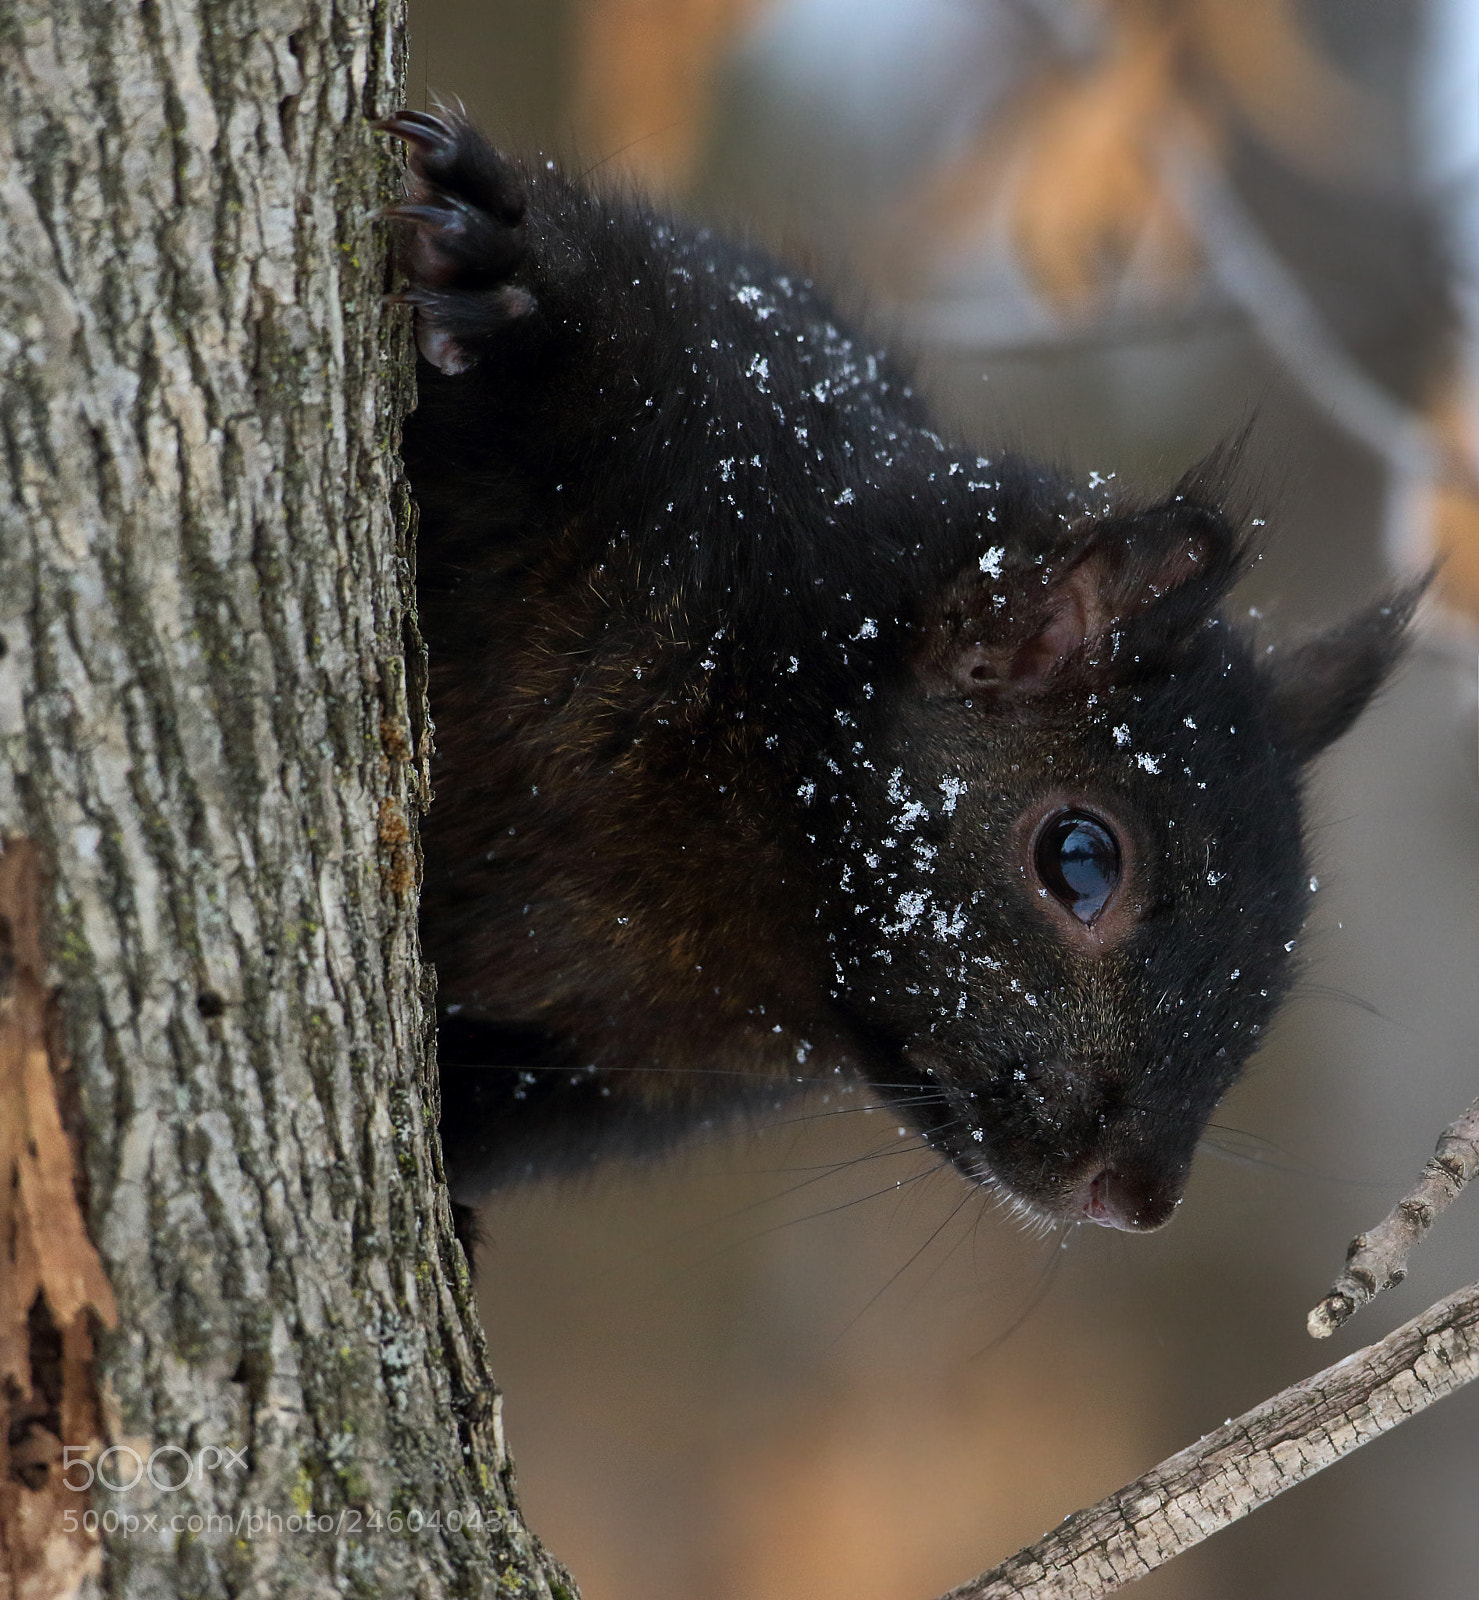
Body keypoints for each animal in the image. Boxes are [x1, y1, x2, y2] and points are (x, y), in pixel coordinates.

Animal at [377, 109, 1420, 1249]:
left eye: (1283, 944)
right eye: (1081, 859)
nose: (1138, 1198)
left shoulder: (601, 1077)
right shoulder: (684, 424)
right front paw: (497, 263)